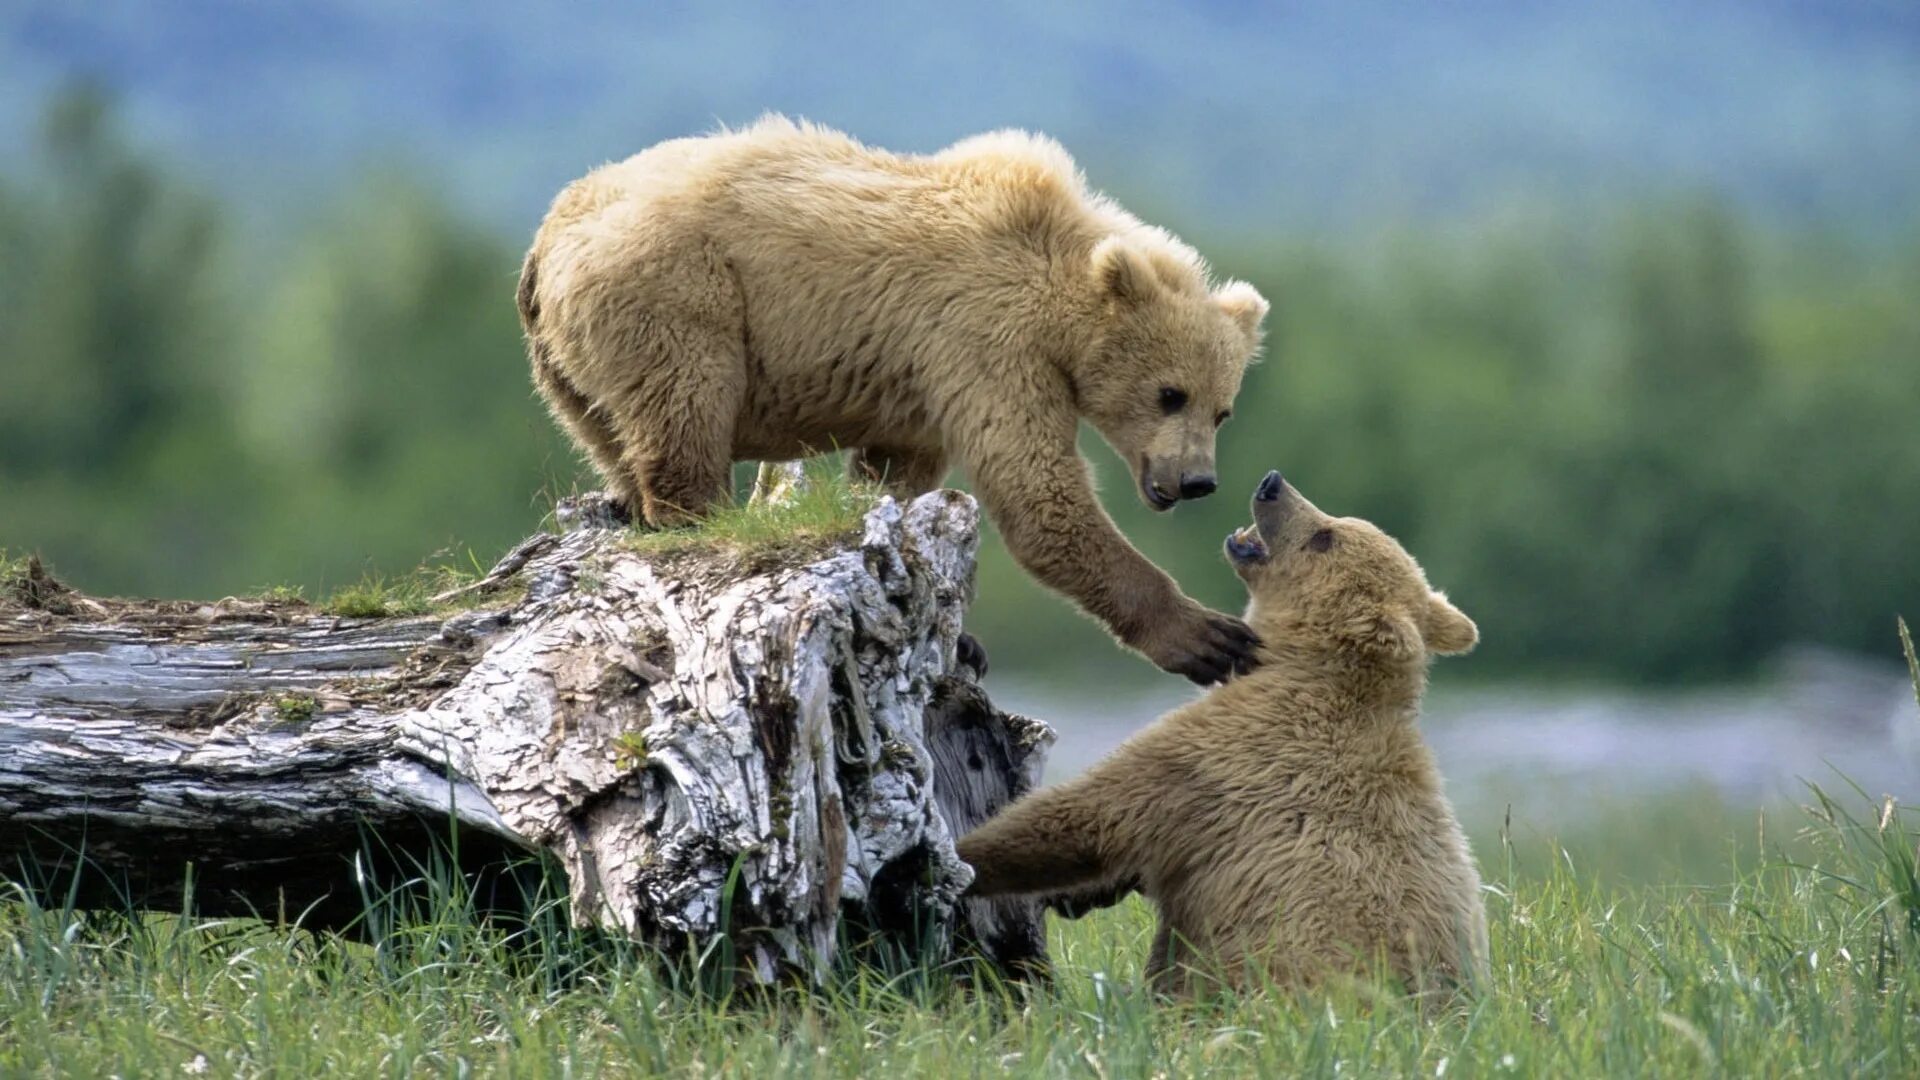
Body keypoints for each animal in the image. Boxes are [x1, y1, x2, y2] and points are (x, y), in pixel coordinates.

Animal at [514, 117, 1274, 680]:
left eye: (1222, 409)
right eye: (1170, 394)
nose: (1197, 480)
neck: (1059, 289)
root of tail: (545, 240)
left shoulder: (924, 383)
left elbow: (897, 476)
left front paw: (958, 634)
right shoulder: (986, 342)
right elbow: (1038, 495)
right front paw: (1210, 636)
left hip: (567, 368)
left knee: (613, 437)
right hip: (676, 294)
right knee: (686, 410)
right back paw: (702, 514)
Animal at [956, 468, 1482, 991]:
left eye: (1325, 537)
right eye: (1336, 523)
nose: (1272, 484)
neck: (1303, 666)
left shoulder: (1224, 758)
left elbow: (1088, 816)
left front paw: (963, 858)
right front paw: (1079, 895)